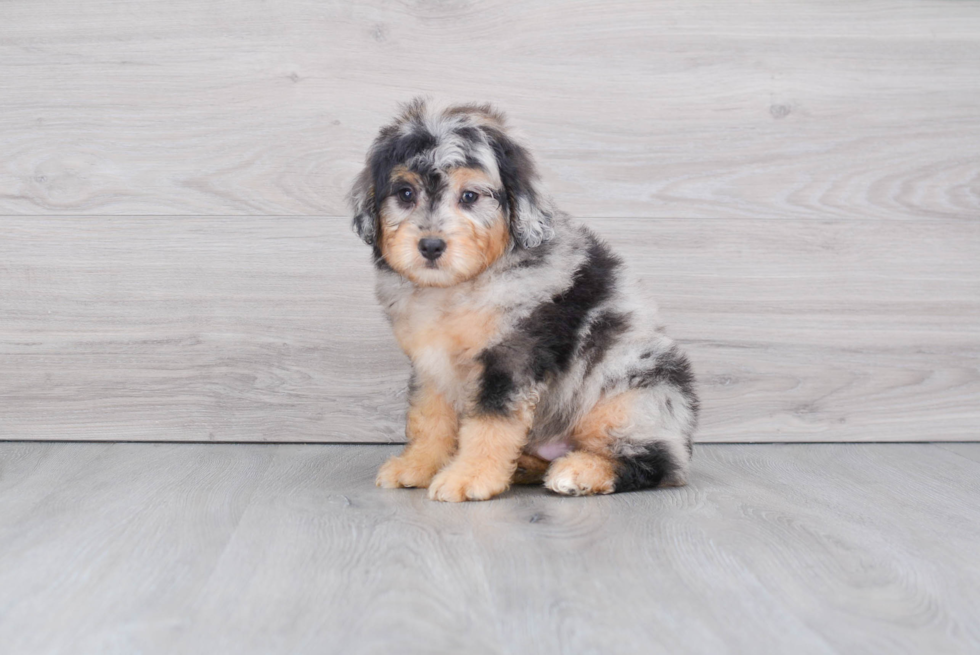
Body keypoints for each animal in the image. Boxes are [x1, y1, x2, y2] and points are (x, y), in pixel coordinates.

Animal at [348, 98, 700, 502]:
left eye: (470, 196)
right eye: (406, 193)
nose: (431, 246)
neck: (460, 287)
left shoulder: (511, 356)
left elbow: (491, 421)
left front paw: (468, 476)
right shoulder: (430, 363)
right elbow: (429, 416)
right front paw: (418, 465)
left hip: (633, 391)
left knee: (657, 461)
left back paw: (581, 471)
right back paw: (523, 466)